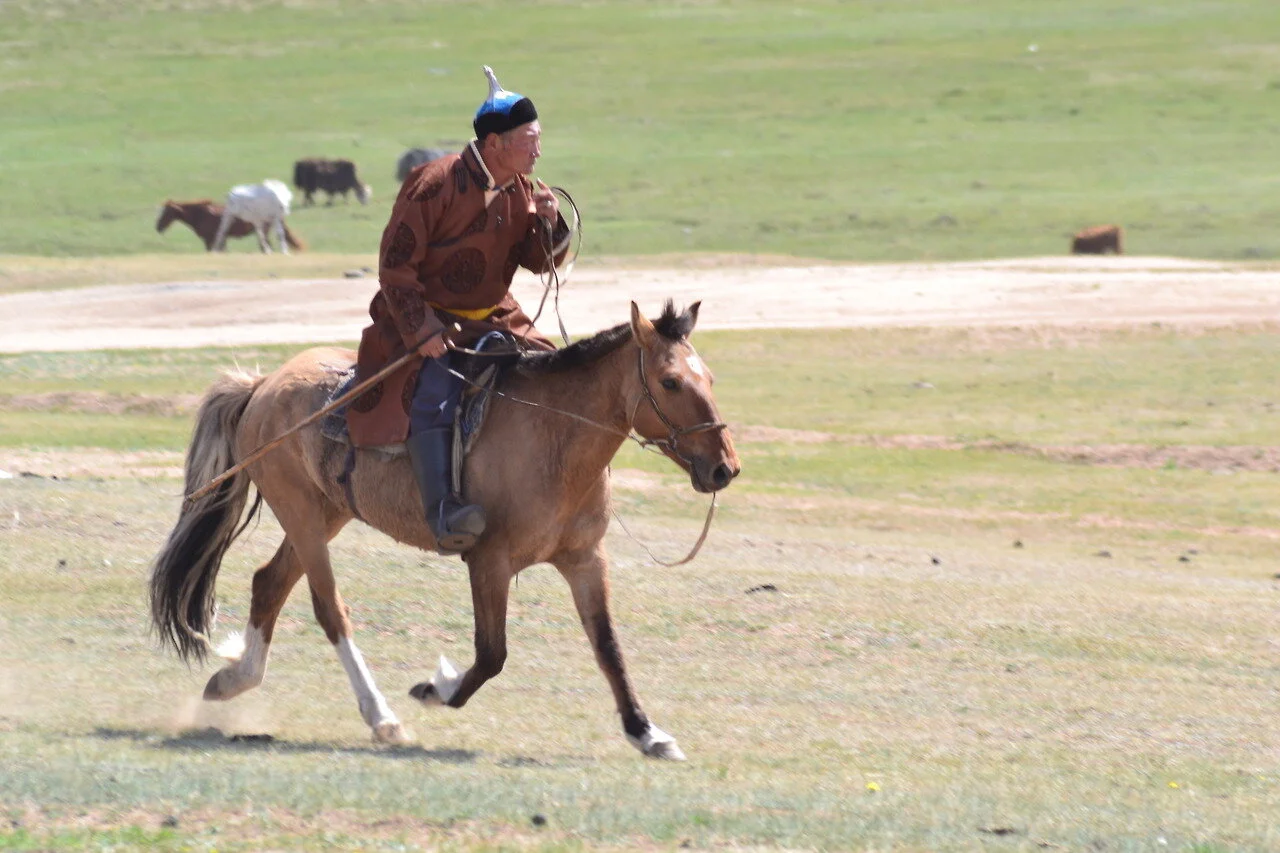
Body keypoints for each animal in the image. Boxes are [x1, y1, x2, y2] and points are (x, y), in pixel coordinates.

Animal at [149, 301, 740, 759]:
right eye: (670, 381)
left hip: (325, 514)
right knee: (328, 607)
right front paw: (437, 688)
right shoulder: (489, 562)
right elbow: (492, 654)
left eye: (711, 379)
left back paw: (234, 680)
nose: (724, 468)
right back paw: (380, 716)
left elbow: (608, 647)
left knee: (268, 583)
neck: (554, 436)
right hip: (301, 515)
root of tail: (263, 384)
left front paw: (647, 732)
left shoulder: (585, 560)